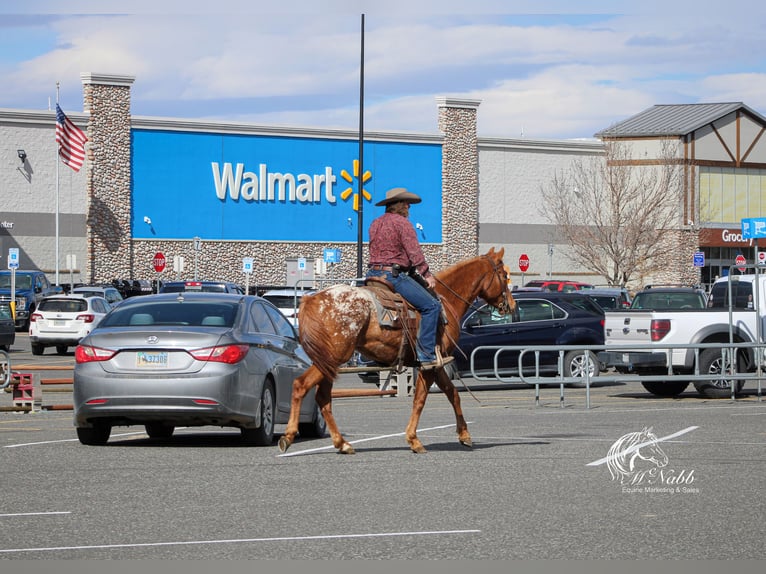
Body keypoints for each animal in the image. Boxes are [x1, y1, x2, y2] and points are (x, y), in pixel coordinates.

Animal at [280, 250, 520, 456]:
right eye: (504, 275)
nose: (511, 305)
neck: (444, 301)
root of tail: (312, 299)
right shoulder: (430, 364)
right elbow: (420, 399)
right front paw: (414, 439)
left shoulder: (437, 363)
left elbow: (453, 394)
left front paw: (464, 435)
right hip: (333, 358)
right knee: (301, 385)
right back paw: (289, 436)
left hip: (328, 362)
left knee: (323, 398)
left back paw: (342, 443)